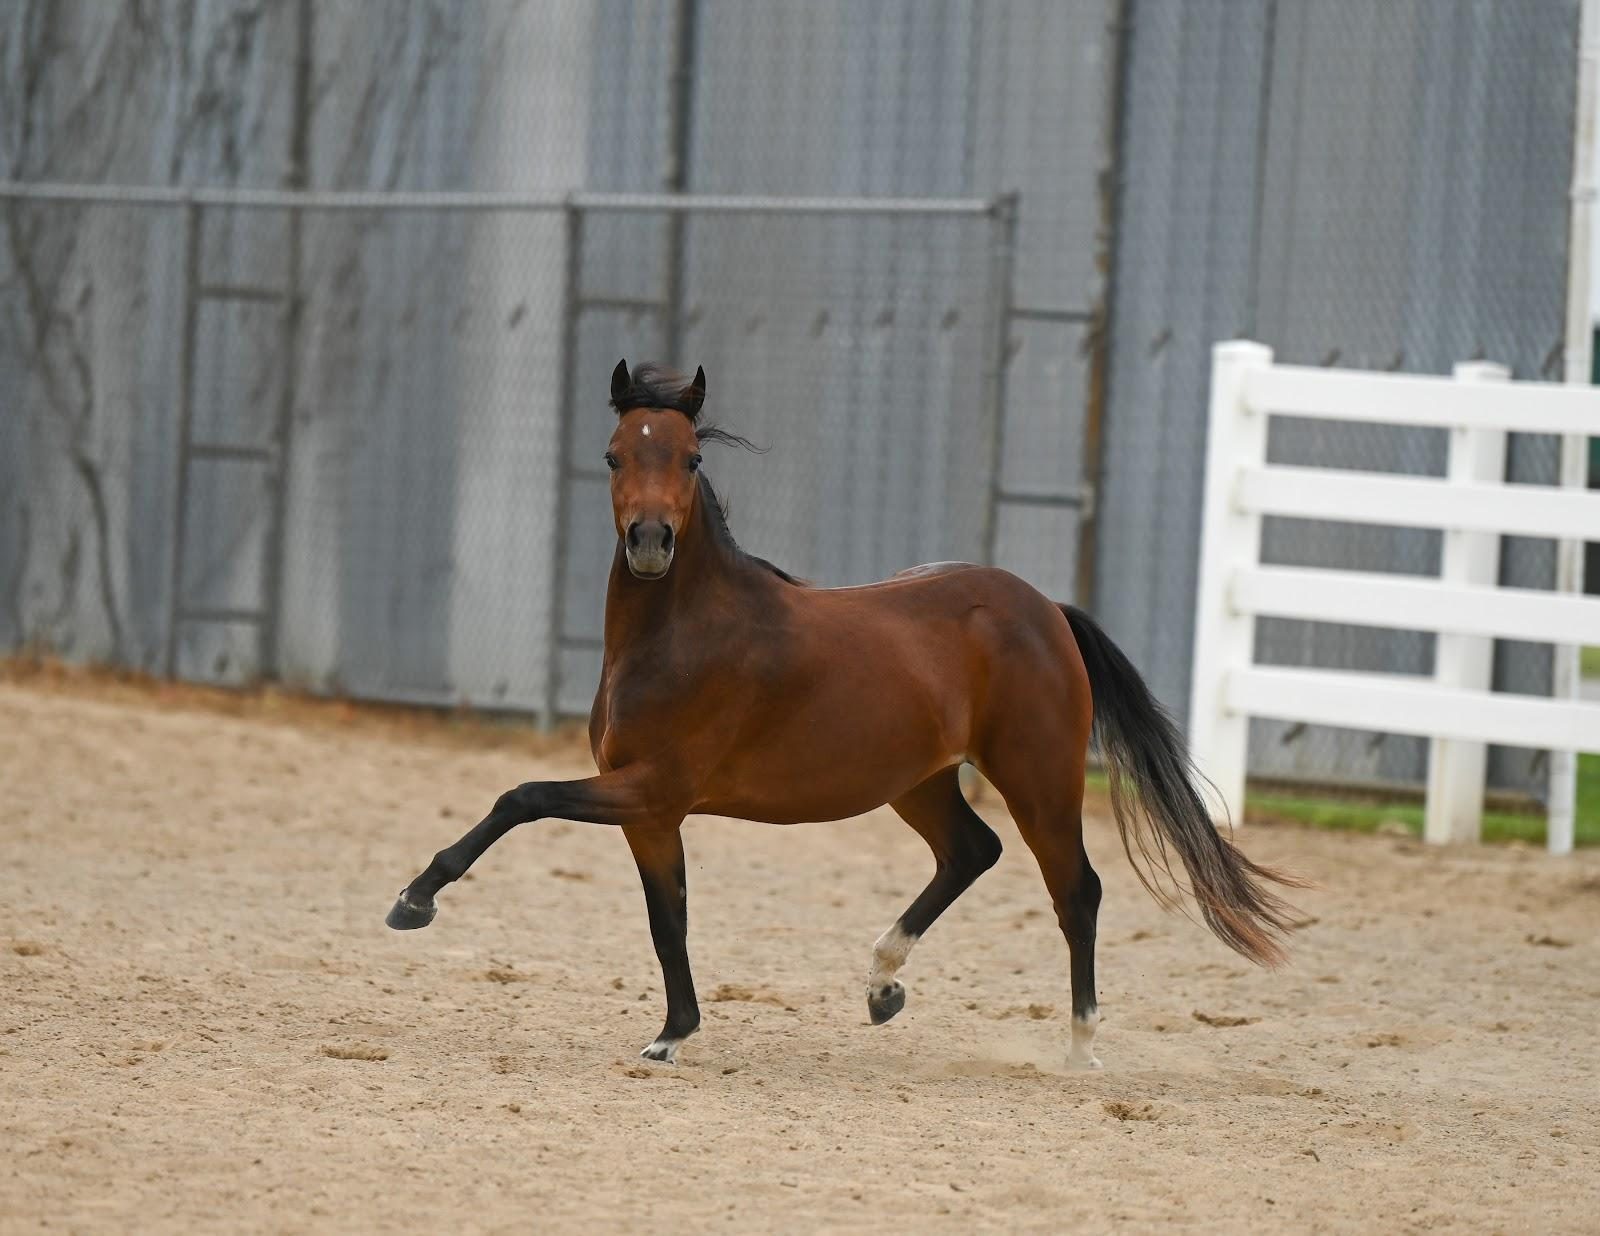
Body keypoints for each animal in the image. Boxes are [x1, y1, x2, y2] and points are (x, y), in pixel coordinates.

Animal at [386, 360, 1304, 1069]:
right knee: (972, 851)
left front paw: (414, 901)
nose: (650, 544)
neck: (682, 633)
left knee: (1076, 890)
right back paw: (882, 984)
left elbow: (521, 797)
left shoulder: (652, 789)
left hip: (1038, 778)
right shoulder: (650, 813)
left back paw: (1080, 1047)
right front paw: (673, 1035)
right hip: (919, 781)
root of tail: (1045, 609)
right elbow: (667, 920)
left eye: (689, 458)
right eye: (614, 456)